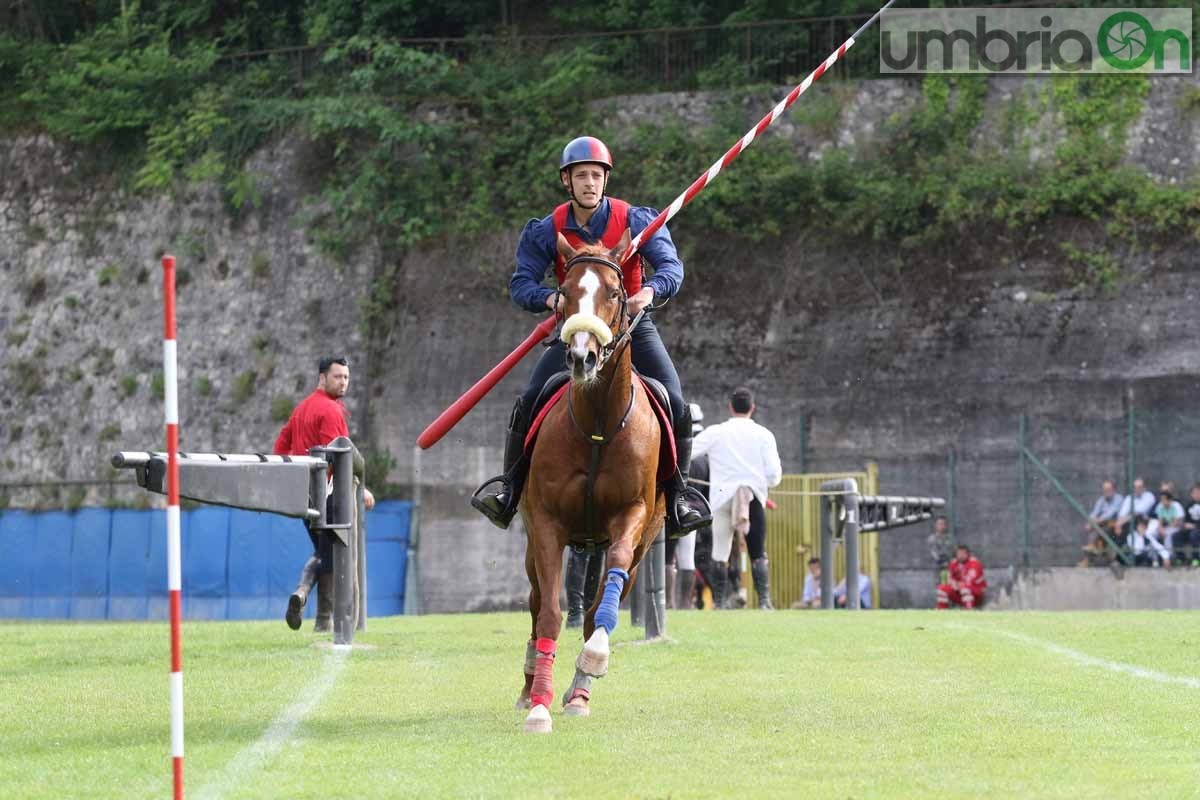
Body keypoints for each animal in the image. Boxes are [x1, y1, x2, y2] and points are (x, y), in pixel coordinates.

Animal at [513, 227, 667, 734]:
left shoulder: (632, 517)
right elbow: (549, 613)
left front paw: (591, 666)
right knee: (536, 601)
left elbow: (603, 604)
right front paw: (539, 705)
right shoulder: (545, 523)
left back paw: (580, 689)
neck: (598, 423)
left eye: (615, 293)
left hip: (635, 545)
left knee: (603, 600)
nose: (582, 355)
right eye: (564, 291)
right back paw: (530, 686)